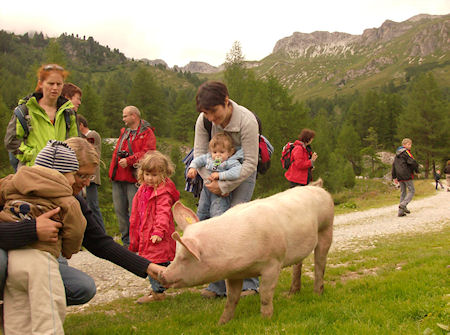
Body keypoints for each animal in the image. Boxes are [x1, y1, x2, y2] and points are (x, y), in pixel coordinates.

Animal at [159, 181, 334, 326]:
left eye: (184, 257)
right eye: (176, 255)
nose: (163, 276)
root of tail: (318, 187)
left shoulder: (273, 262)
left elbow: (265, 293)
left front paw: (265, 320)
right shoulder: (233, 274)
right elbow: (231, 299)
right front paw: (221, 323)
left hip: (326, 227)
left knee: (320, 262)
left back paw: (317, 294)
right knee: (298, 263)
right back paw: (292, 294)